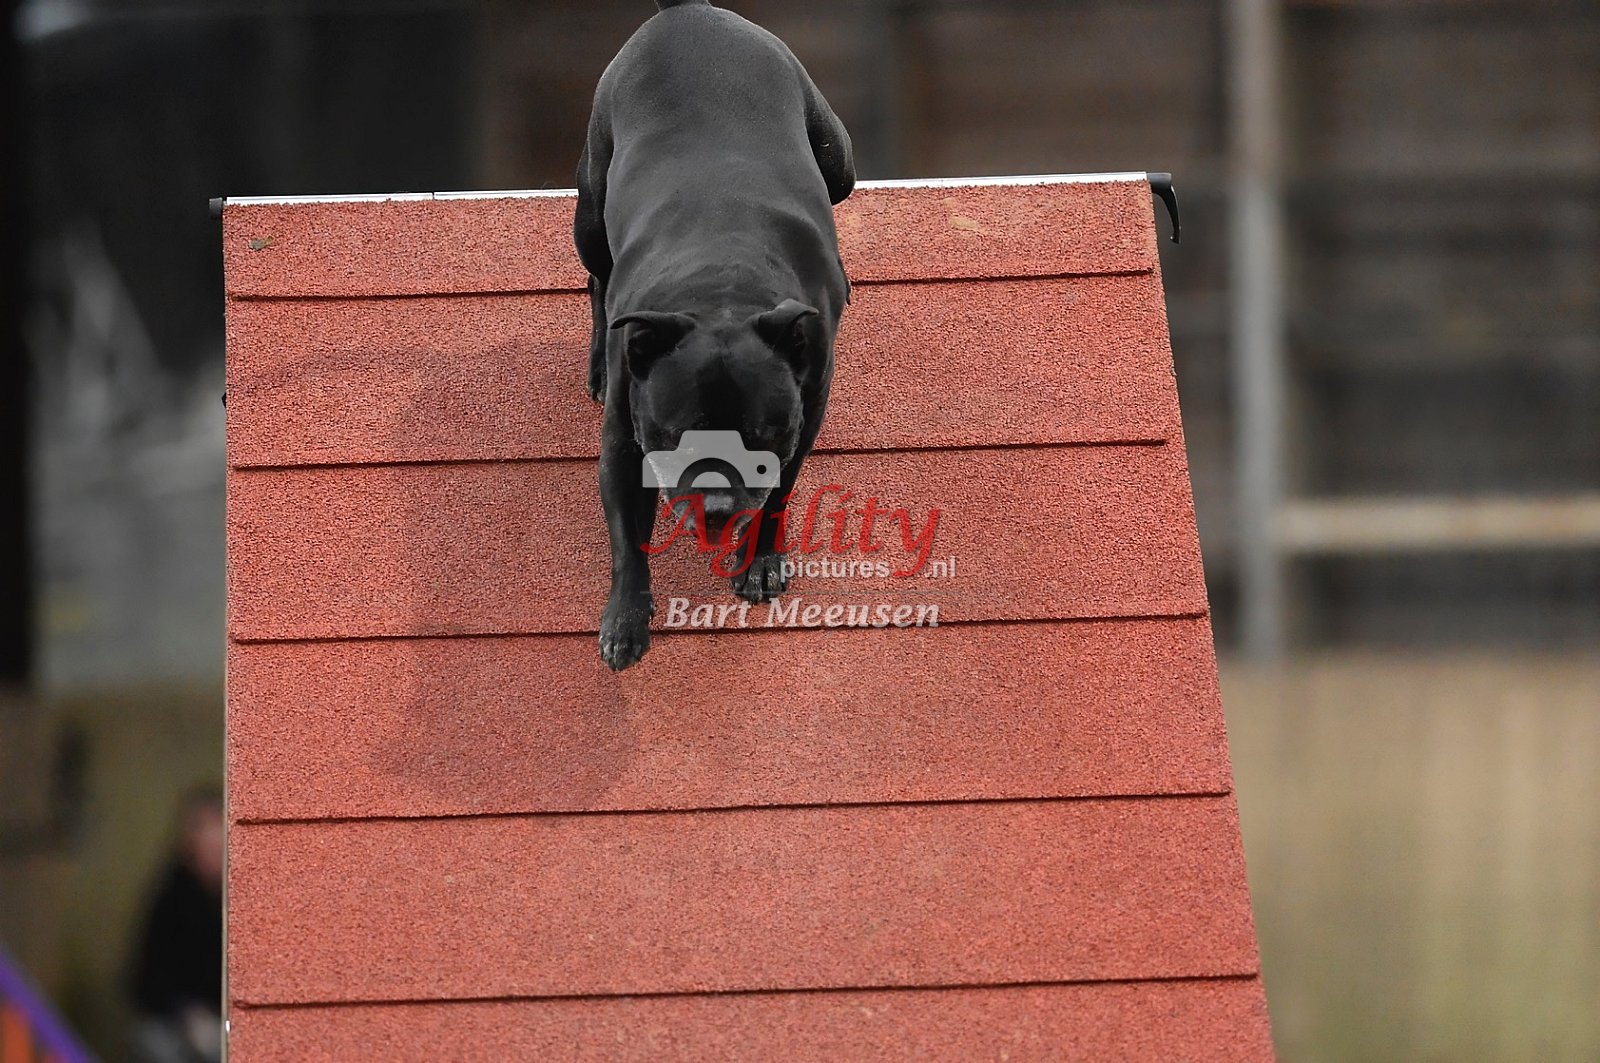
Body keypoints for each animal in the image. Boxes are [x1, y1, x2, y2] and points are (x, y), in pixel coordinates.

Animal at [575, 0, 855, 670]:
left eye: (759, 438)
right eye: (675, 437)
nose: (720, 508)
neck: (723, 290)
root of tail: (687, 10)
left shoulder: (803, 415)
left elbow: (779, 494)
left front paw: (760, 562)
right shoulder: (624, 438)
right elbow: (626, 535)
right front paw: (625, 619)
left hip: (837, 159)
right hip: (590, 208)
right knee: (596, 275)